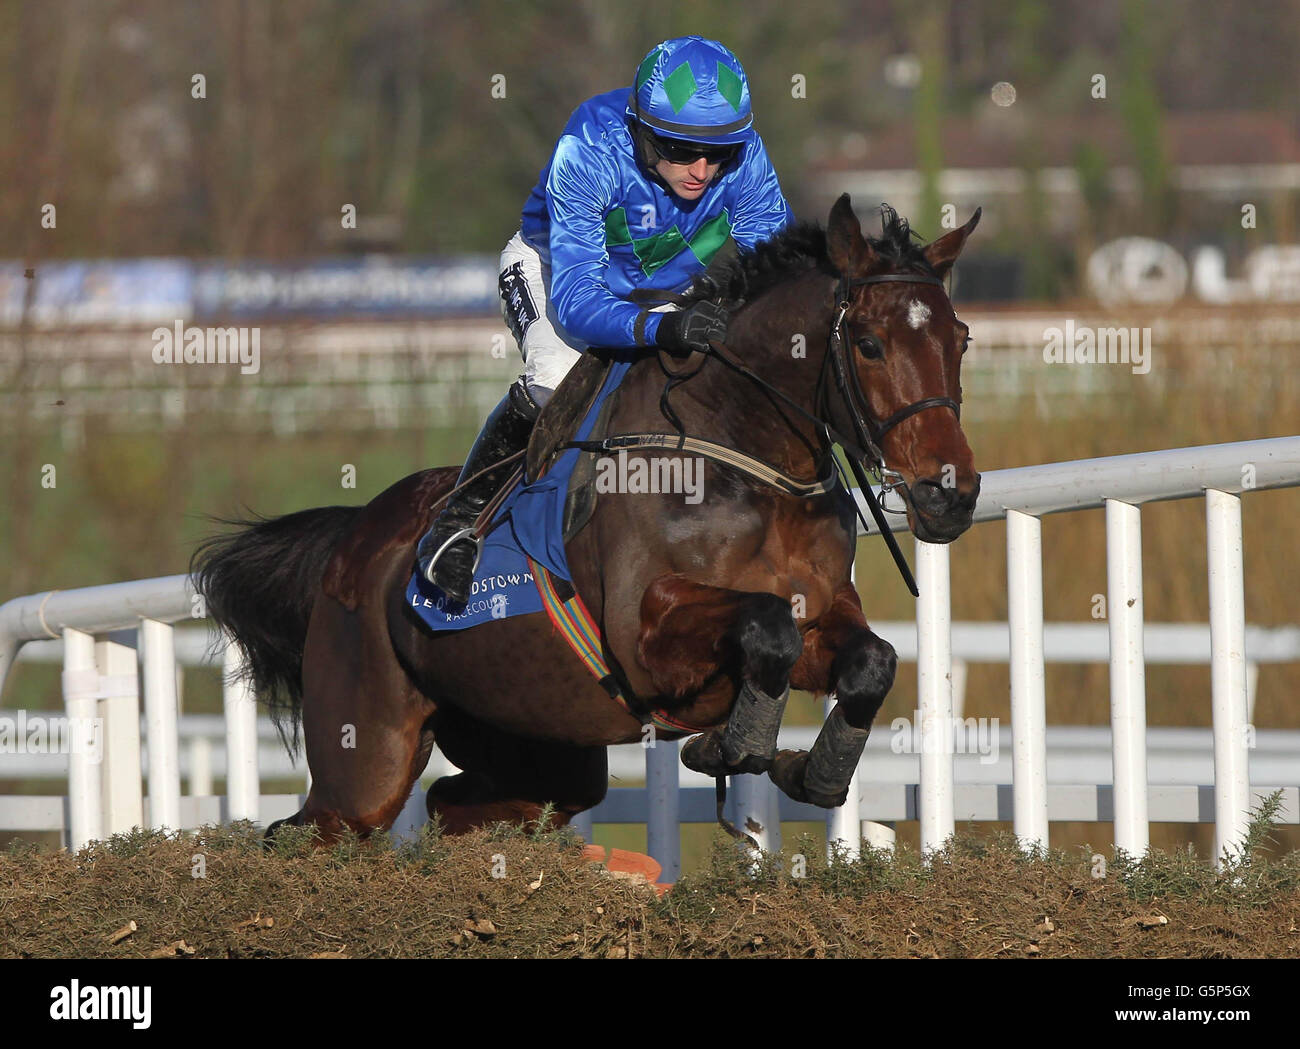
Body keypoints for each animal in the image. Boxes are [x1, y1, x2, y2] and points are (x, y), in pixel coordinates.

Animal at [197, 197, 977, 847]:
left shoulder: (823, 608)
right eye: (869, 343)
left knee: (455, 804)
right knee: (307, 829)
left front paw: (804, 770)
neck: (743, 457)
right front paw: (732, 745)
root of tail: (352, 540)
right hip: (366, 758)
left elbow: (871, 660)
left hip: (535, 743)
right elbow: (765, 628)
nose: (951, 494)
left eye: (961, 339)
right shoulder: (643, 636)